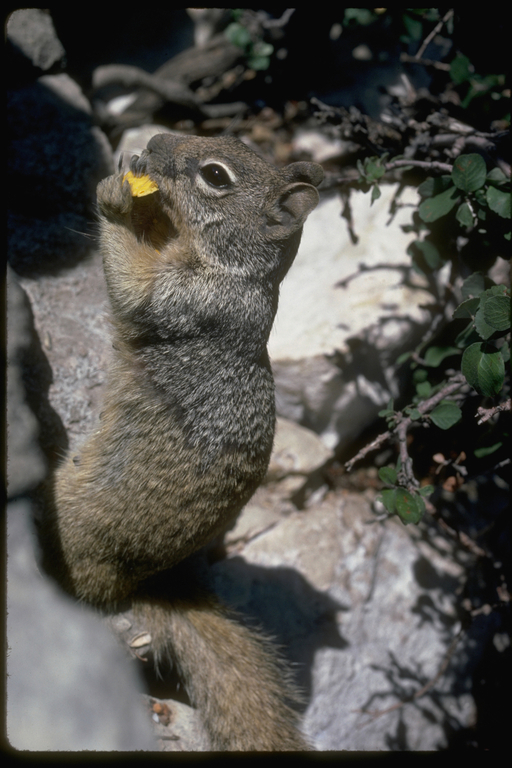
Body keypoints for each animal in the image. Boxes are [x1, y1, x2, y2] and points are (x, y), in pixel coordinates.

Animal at [40, 134, 322, 752]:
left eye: (216, 176)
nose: (149, 142)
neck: (235, 270)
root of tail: (139, 588)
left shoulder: (184, 296)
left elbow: (133, 284)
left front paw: (115, 197)